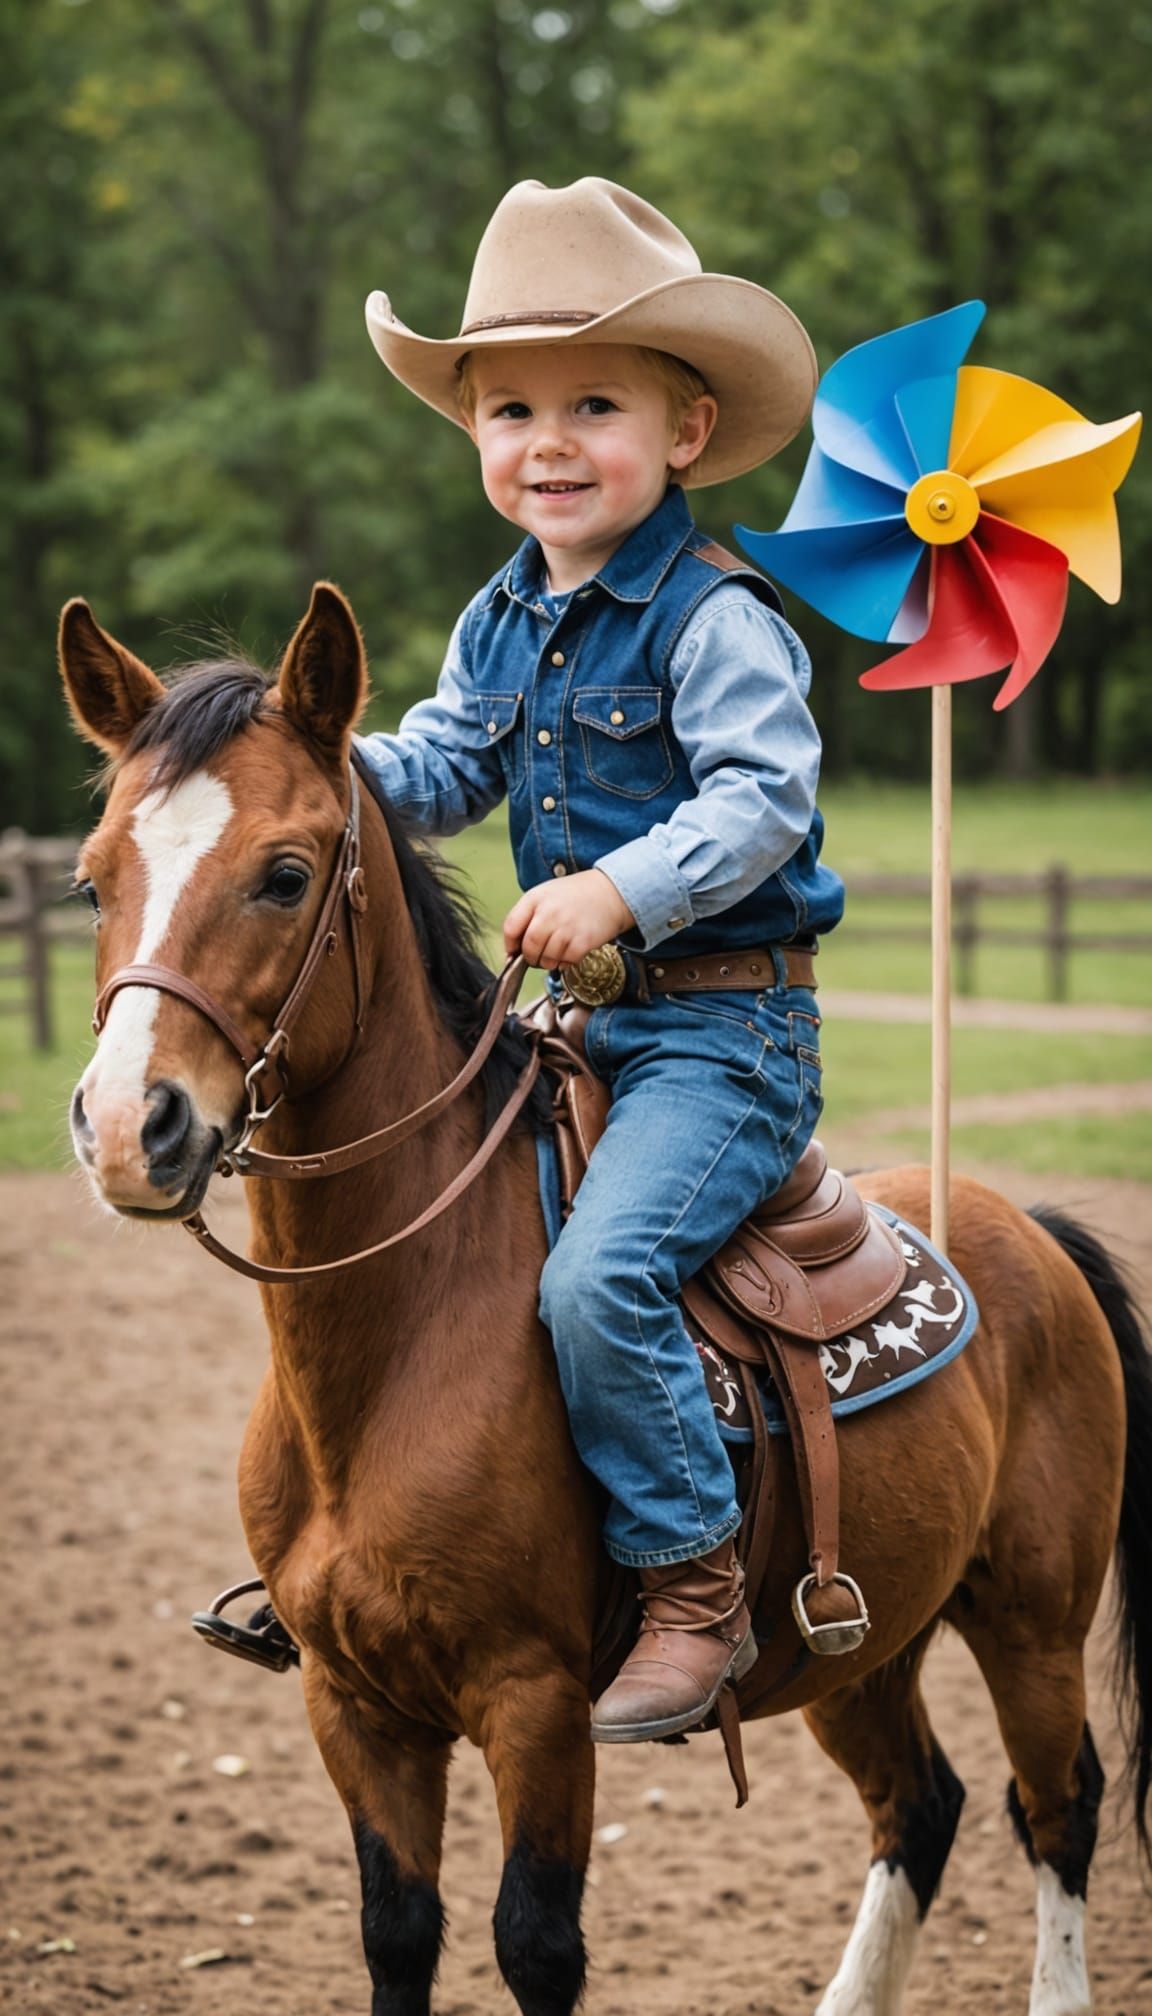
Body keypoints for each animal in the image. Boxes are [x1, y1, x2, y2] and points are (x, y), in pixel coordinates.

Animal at [59, 580, 1151, 2016]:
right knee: (921, 1804)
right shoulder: (353, 1709)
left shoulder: (537, 1704)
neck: (401, 1348)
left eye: (285, 875)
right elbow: (398, 1932)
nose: (134, 1131)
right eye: (90, 880)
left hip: (1032, 1621)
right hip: (859, 1639)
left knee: (1058, 1805)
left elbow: (535, 1943)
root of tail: (1031, 1230)